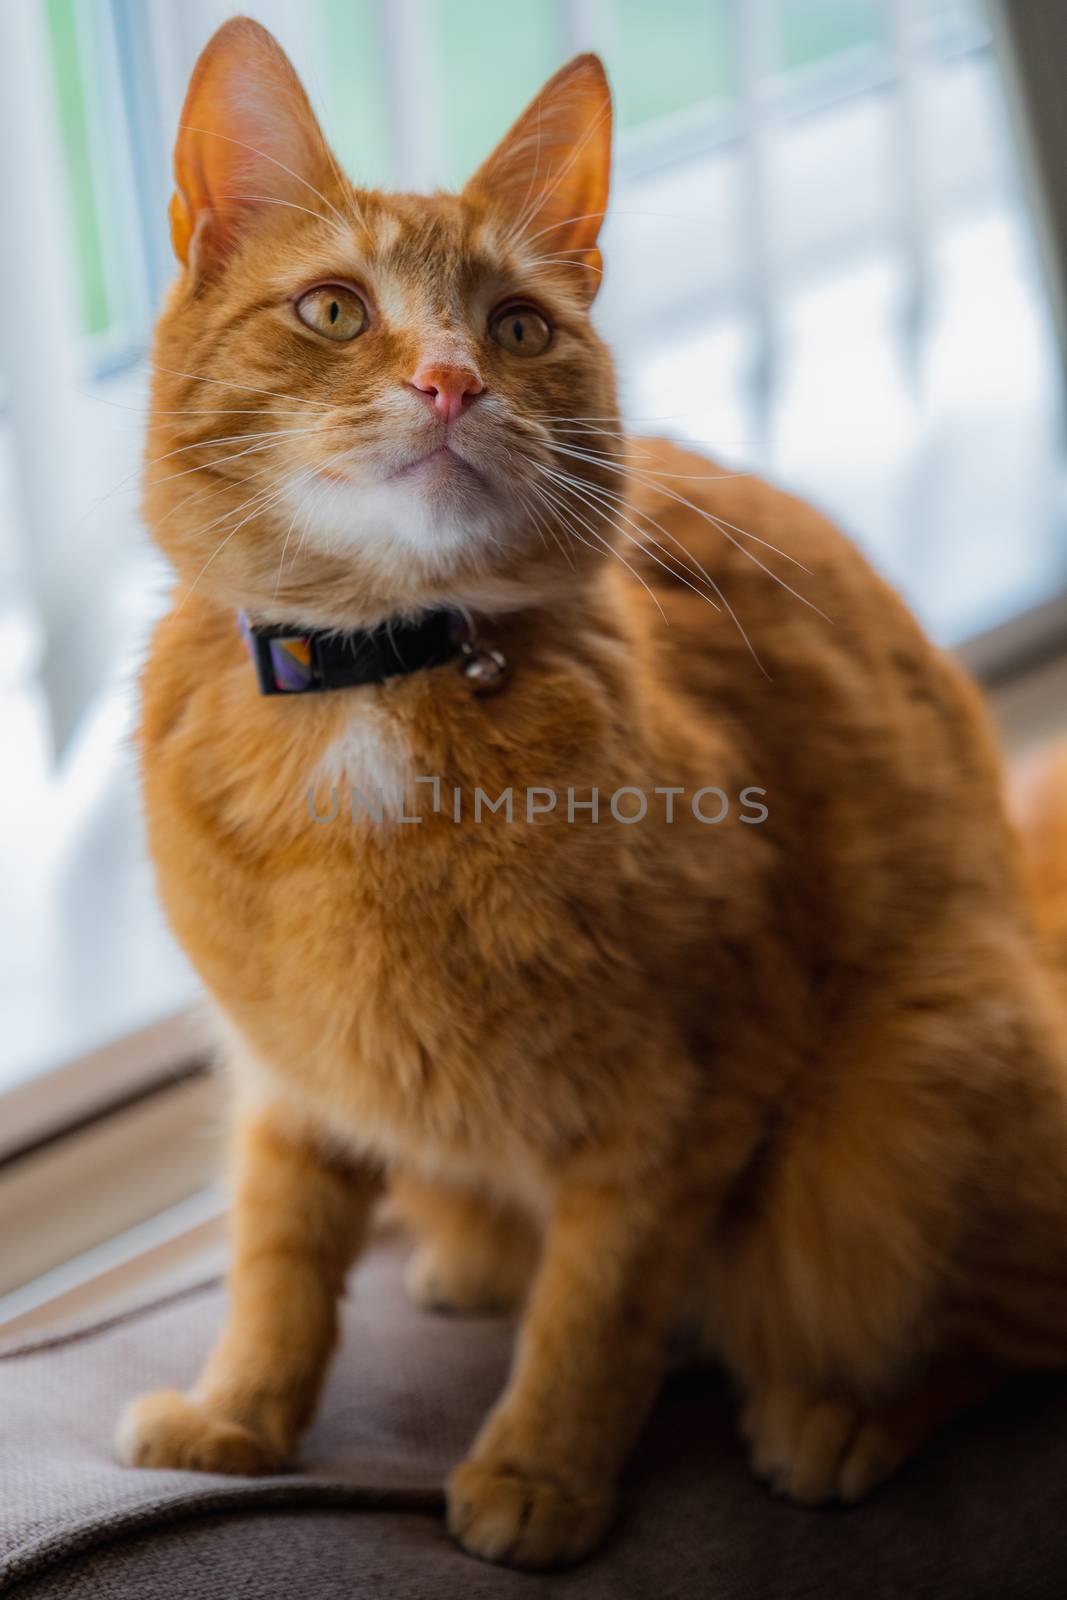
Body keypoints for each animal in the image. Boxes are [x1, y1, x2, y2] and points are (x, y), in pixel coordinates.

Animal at [119, 15, 1067, 1561]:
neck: (384, 675)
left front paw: (540, 1470)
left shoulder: (684, 1097)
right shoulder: (287, 1075)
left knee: (998, 1325)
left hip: (902, 1109)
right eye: (332, 311)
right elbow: (277, 1254)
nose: (451, 381)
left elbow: (598, 1306)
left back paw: (837, 1415)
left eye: (518, 327)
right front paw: (237, 1414)